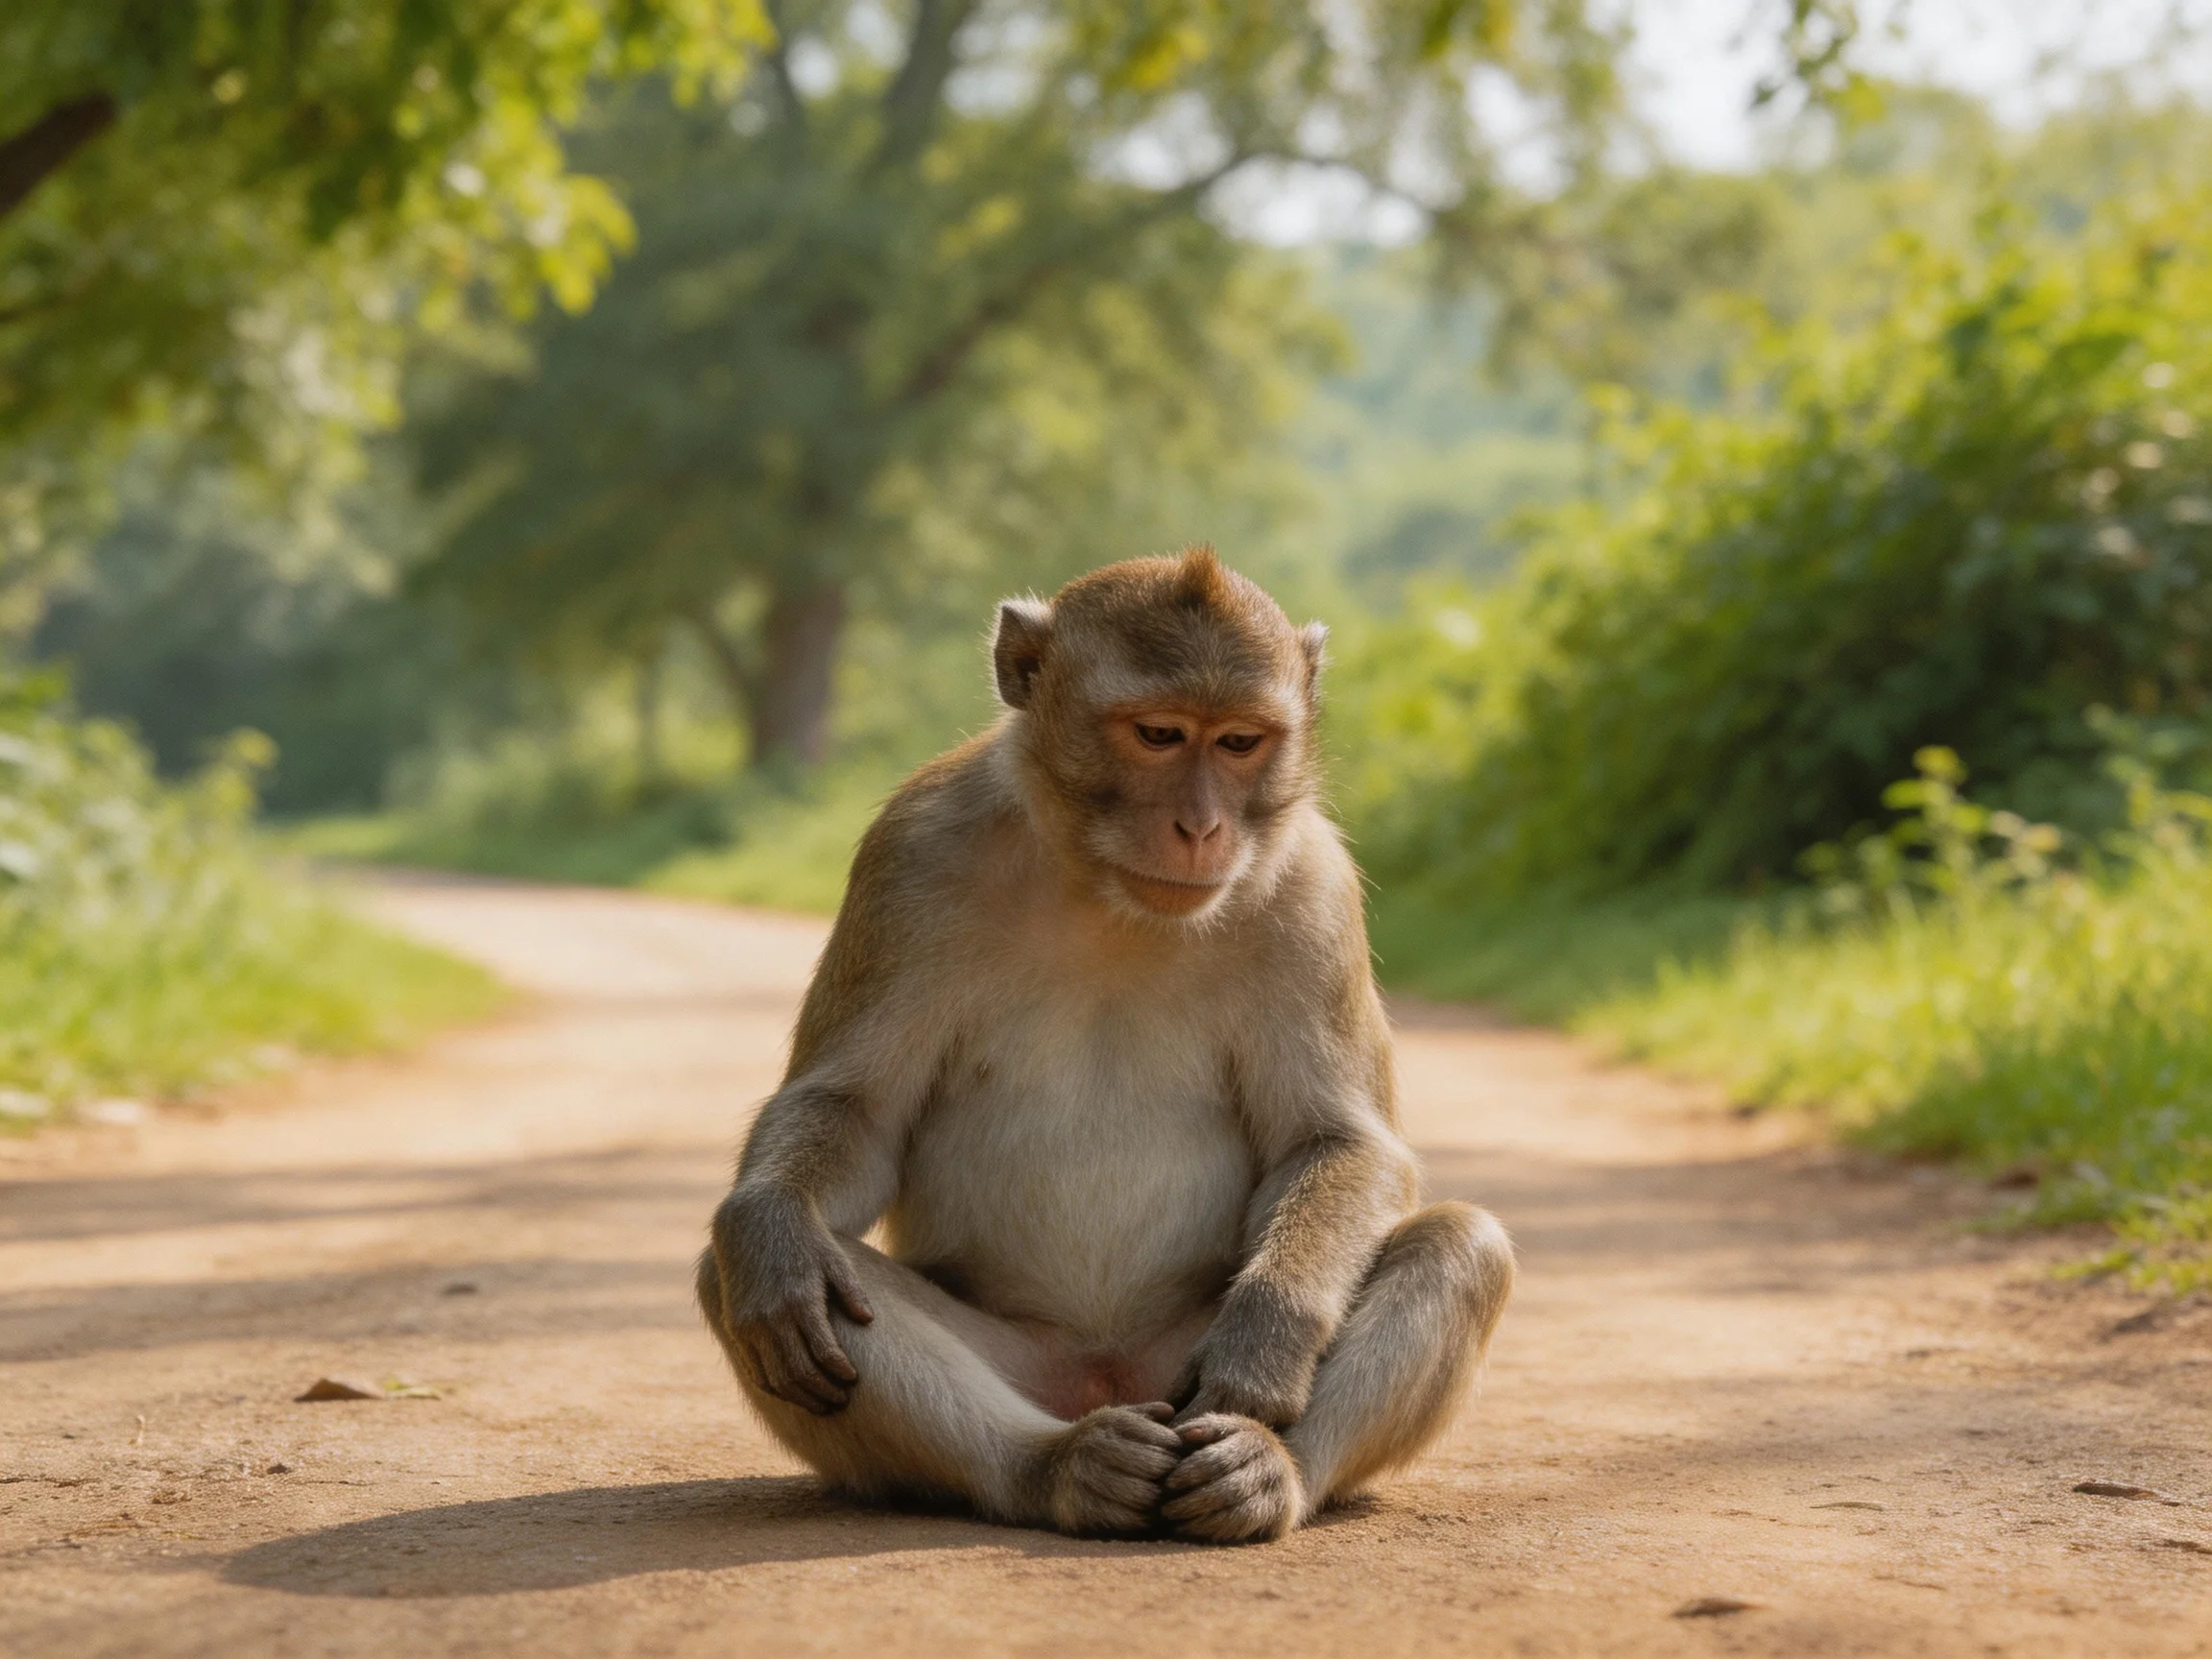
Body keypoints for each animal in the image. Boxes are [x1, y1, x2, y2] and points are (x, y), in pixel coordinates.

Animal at [695, 545, 1514, 1543]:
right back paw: (1061, 1469)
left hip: (1175, 1368)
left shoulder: (1314, 890)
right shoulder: (911, 854)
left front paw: (1267, 1343)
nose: (1200, 828)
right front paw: (772, 1227)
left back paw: (1265, 1471)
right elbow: (854, 1112)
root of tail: (1106, 1376)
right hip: (1039, 1370)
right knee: (758, 1278)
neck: (1105, 891)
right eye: (1159, 734)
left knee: (1461, 1246)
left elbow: (1339, 1140)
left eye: (1240, 743)